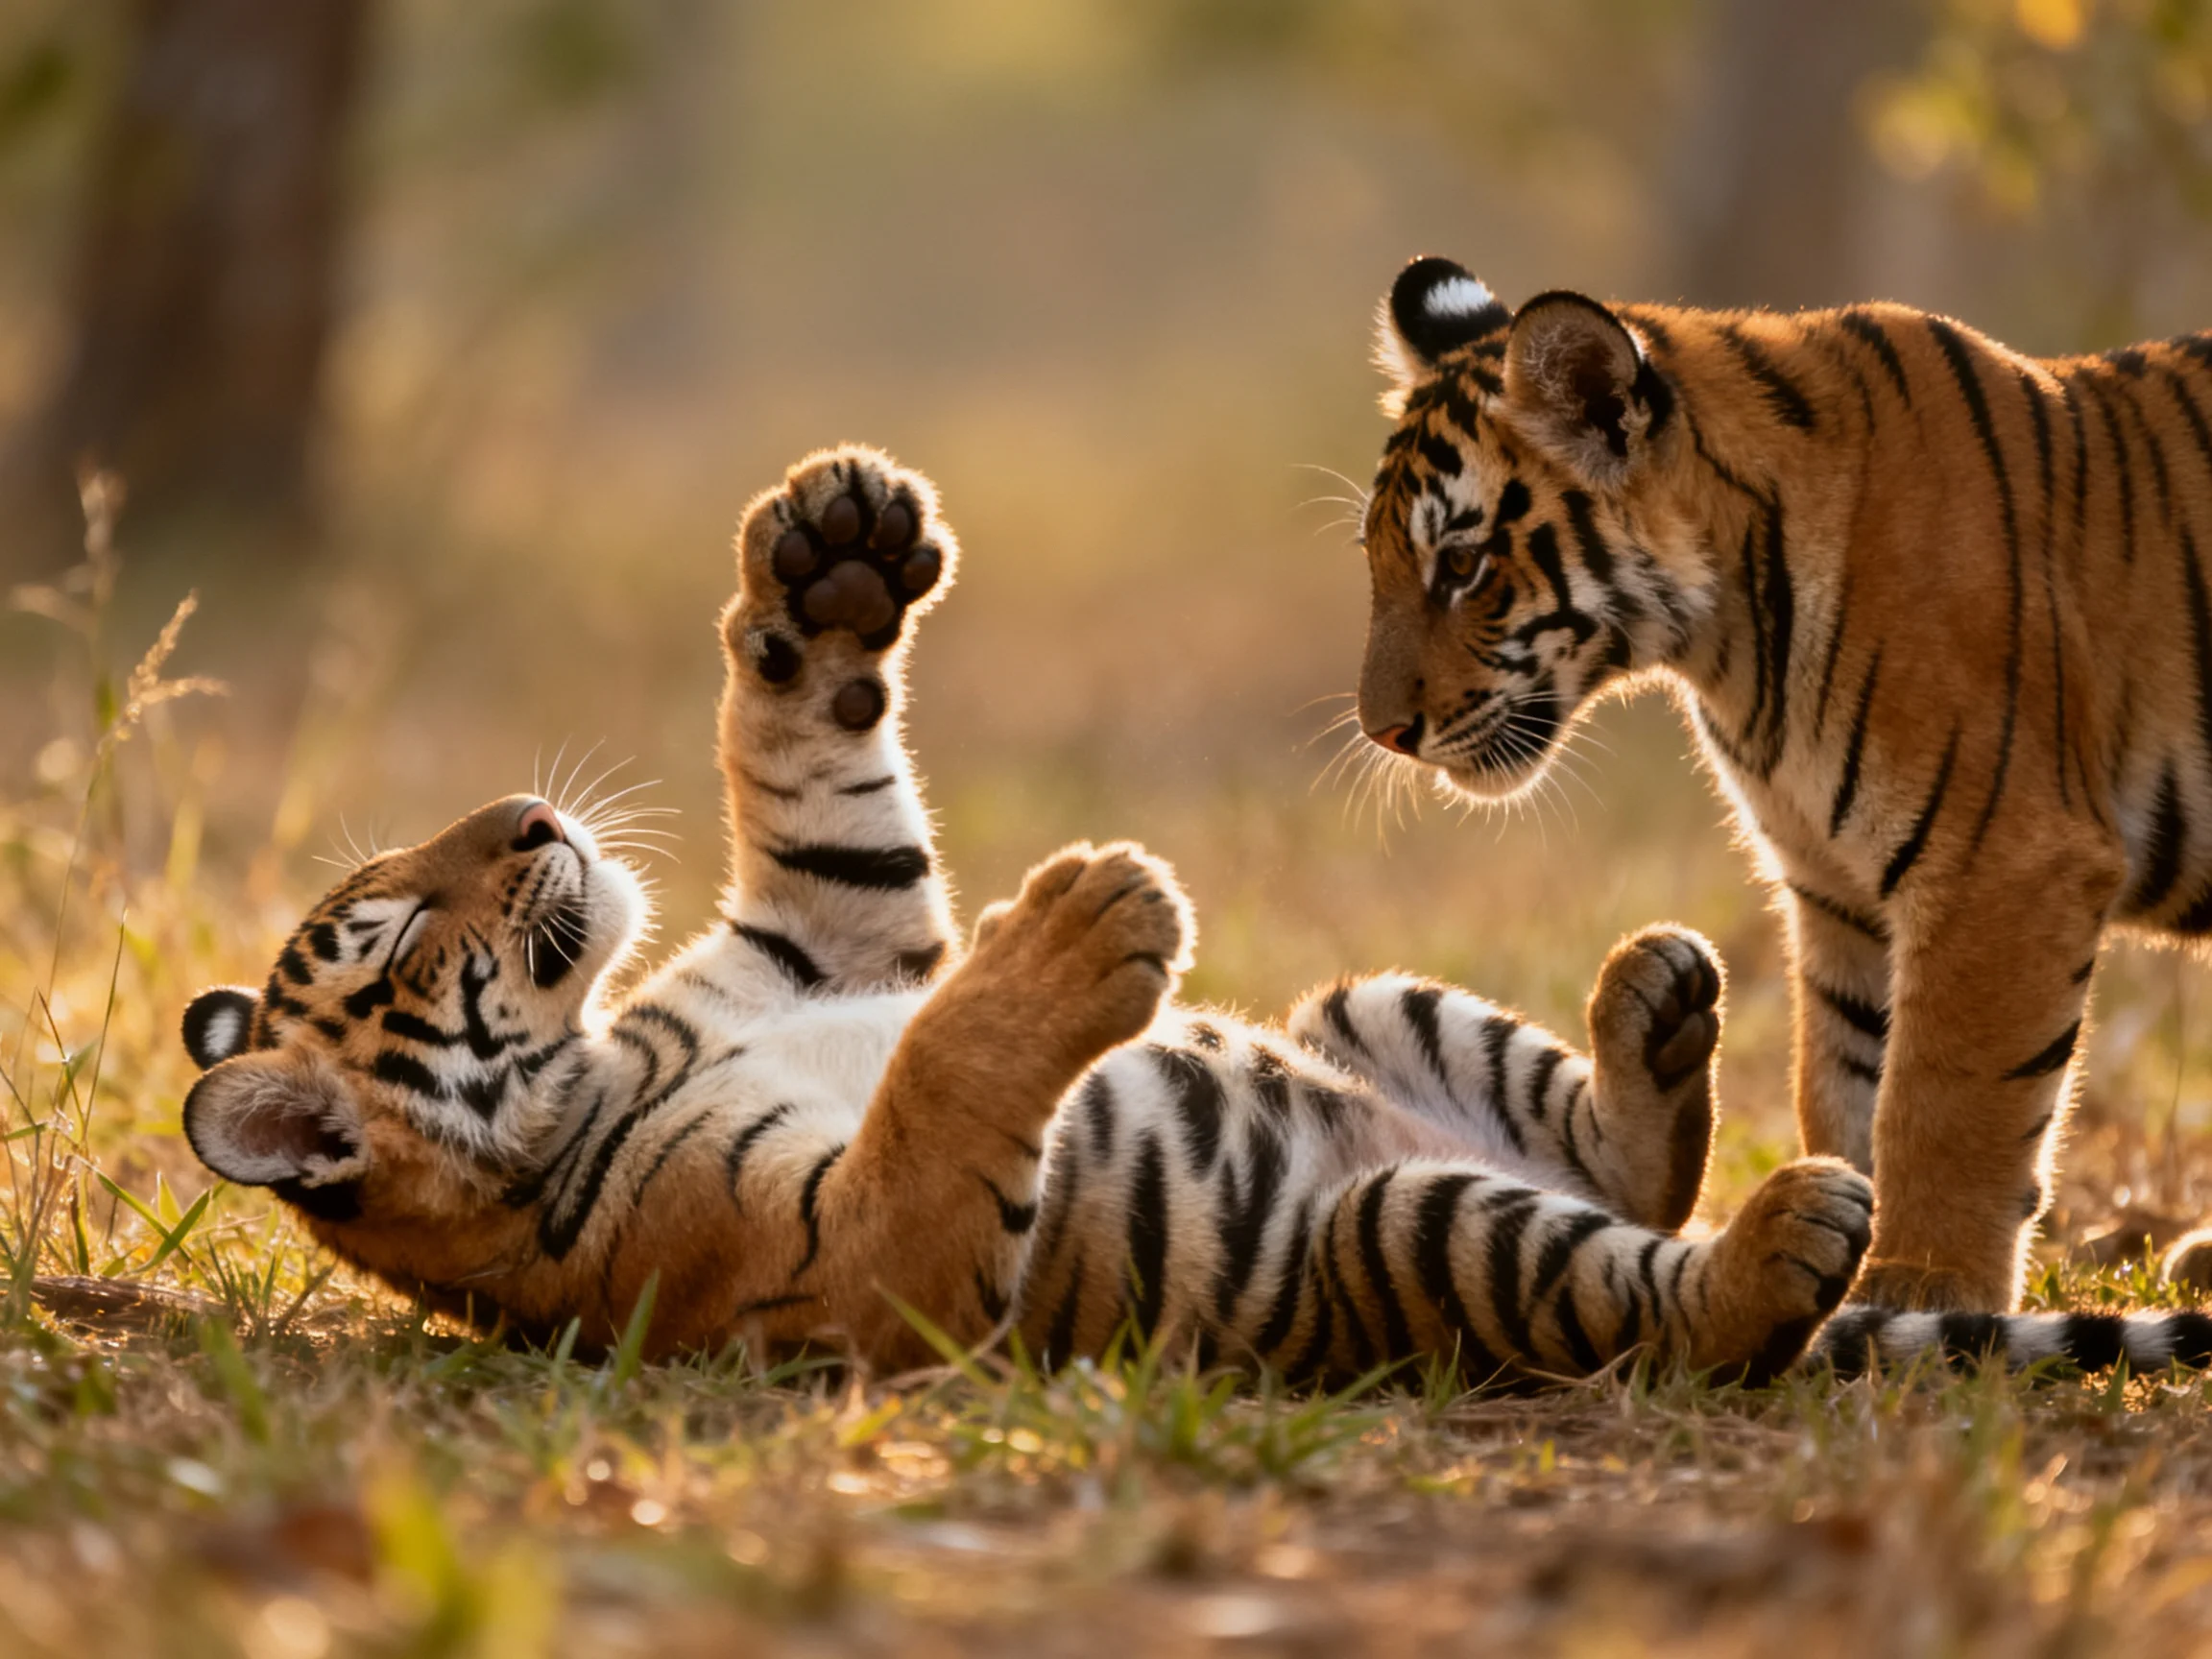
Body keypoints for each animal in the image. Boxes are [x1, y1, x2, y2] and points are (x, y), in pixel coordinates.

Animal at [174, 443, 1890, 1387]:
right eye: (399, 935)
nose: (533, 818)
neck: (596, 1060)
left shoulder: (832, 937)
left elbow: (813, 774)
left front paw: (837, 556)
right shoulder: (870, 1271)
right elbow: (939, 1081)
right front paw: (1087, 918)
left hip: (1359, 1004)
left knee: (1633, 1168)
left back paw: (1659, 1004)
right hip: (1408, 1240)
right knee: (1665, 1301)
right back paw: (1791, 1227)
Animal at [1352, 253, 2212, 1318]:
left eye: (1463, 565)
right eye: (1378, 561)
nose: (1380, 731)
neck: (1727, 643)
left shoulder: (2004, 863)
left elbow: (1947, 1097)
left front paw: (1920, 1292)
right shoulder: (1837, 887)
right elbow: (1847, 1080)